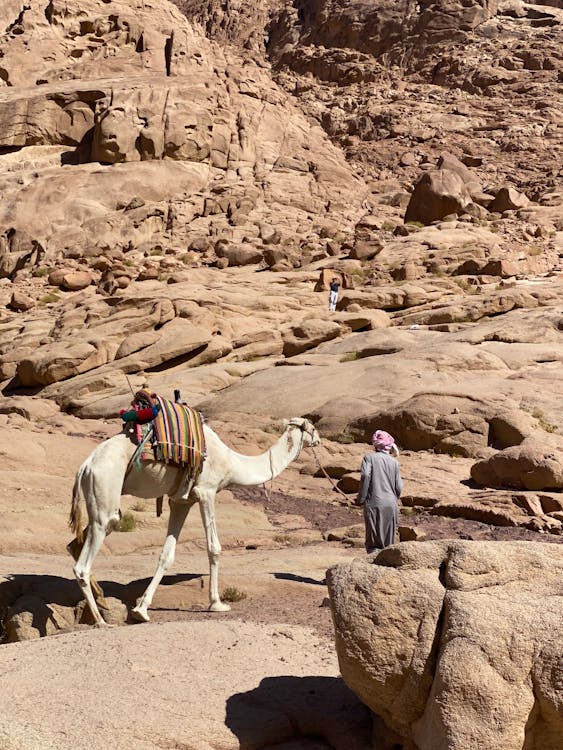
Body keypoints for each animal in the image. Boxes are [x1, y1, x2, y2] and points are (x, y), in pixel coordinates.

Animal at [68, 418, 320, 628]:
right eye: (313, 428)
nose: (318, 440)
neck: (232, 462)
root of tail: (84, 467)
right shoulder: (206, 491)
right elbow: (214, 548)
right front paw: (217, 604)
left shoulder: (182, 501)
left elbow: (167, 555)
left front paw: (141, 609)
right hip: (105, 489)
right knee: (83, 563)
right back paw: (101, 620)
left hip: (98, 499)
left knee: (75, 544)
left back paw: (102, 600)